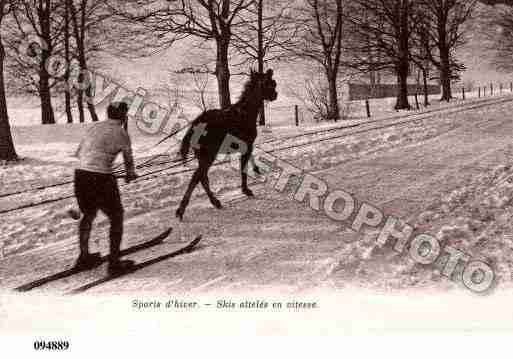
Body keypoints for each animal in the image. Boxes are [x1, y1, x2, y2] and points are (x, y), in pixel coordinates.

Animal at [175, 69, 276, 221]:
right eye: (267, 83)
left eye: (273, 83)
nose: (275, 95)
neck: (246, 113)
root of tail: (194, 125)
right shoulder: (247, 145)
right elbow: (243, 169)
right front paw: (246, 190)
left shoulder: (246, 146)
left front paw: (256, 170)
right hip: (208, 154)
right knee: (197, 177)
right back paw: (182, 209)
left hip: (202, 155)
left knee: (202, 178)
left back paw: (214, 202)